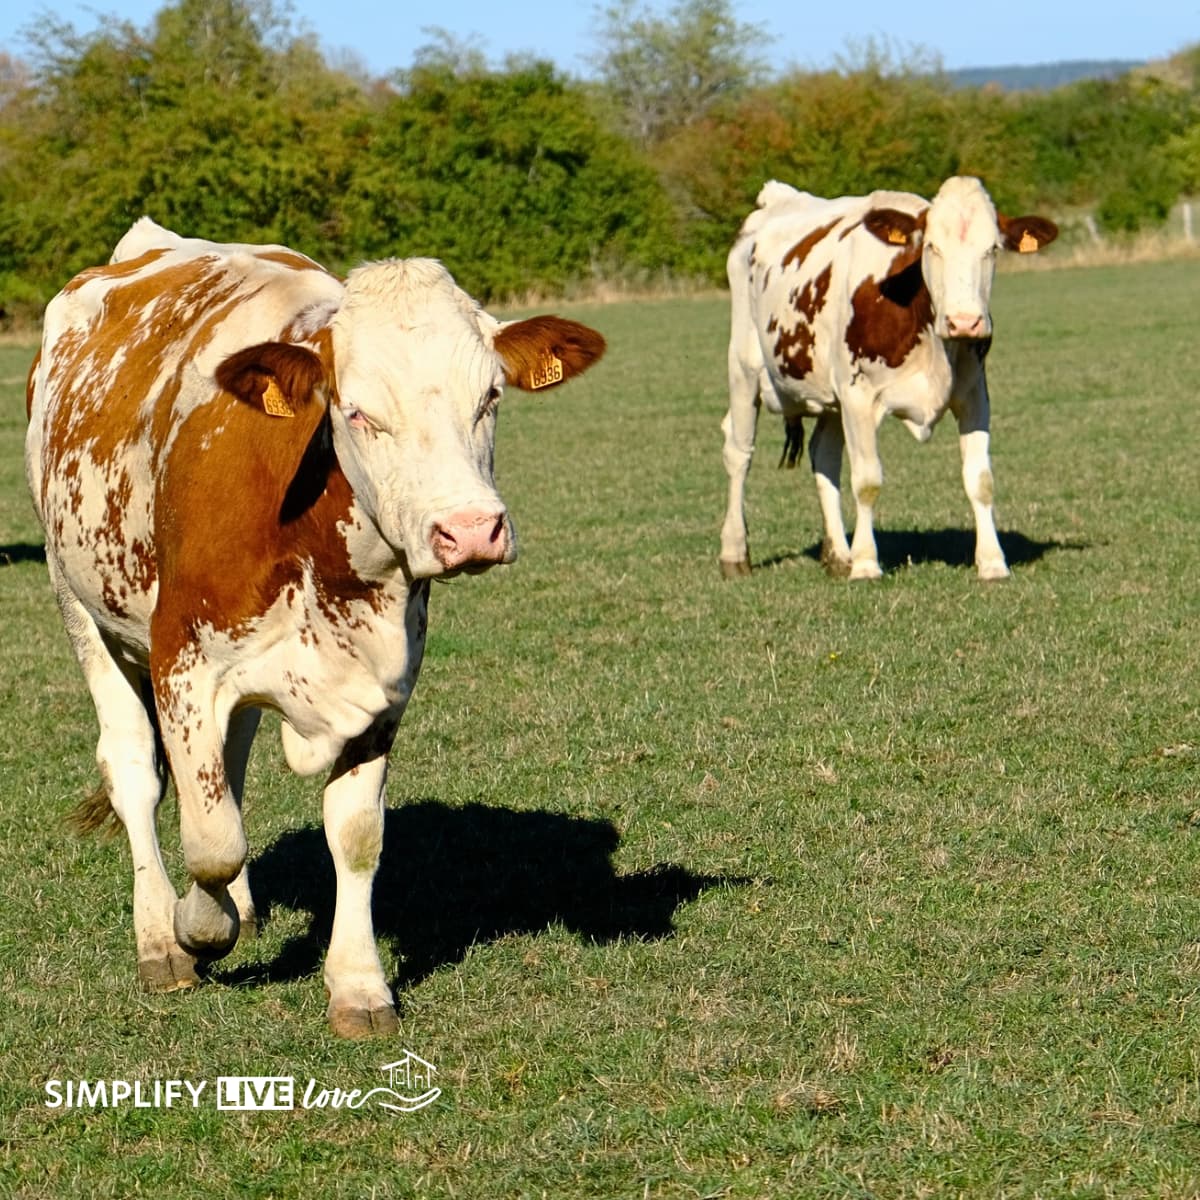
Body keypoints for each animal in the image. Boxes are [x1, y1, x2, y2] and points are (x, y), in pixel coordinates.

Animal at [25, 218, 605, 1037]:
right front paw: (194, 928)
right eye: (357, 410)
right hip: (77, 600)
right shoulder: (182, 660)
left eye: (490, 396)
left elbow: (355, 835)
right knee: (135, 770)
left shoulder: (387, 682)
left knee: (228, 765)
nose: (470, 530)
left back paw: (240, 910)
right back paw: (160, 938)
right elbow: (211, 841)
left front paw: (358, 986)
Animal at [719, 175, 1057, 581]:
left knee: (824, 456)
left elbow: (980, 479)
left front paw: (992, 562)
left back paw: (839, 555)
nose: (964, 321)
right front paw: (867, 564)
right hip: (743, 369)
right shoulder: (858, 397)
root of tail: (777, 196)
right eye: (931, 247)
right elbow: (867, 481)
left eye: (992, 248)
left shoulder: (975, 394)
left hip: (830, 398)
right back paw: (734, 553)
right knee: (739, 452)